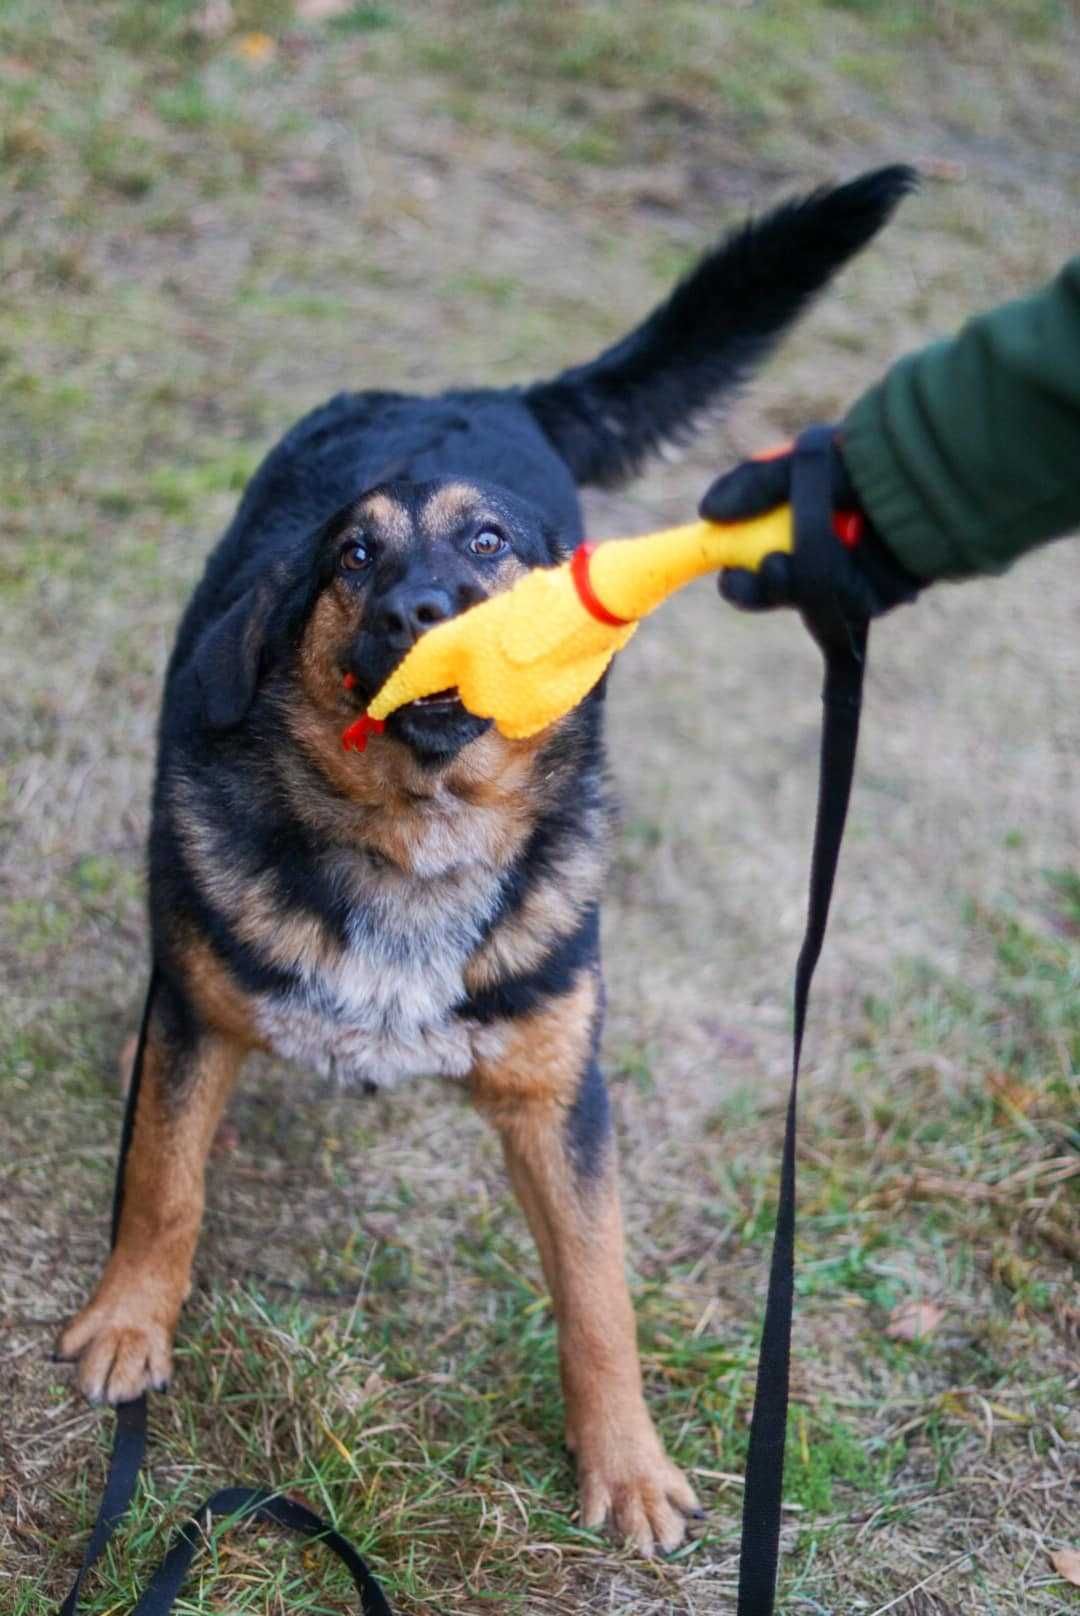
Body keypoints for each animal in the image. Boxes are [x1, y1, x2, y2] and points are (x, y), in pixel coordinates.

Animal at [61, 164, 911, 1551]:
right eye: (353, 557)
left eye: (490, 547)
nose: (426, 609)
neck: (417, 837)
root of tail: (480, 393)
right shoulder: (189, 1010)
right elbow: (162, 1178)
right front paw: (131, 1322)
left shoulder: (561, 1093)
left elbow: (599, 1291)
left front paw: (626, 1463)